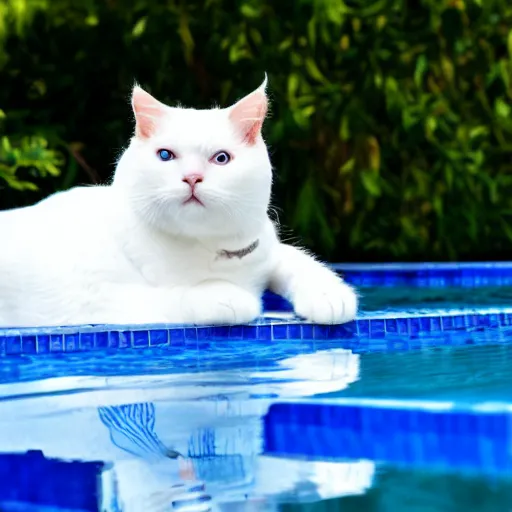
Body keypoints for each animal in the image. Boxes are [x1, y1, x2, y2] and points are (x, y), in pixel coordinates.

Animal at [0, 77, 356, 326]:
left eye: (221, 158)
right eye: (165, 155)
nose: (192, 178)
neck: (208, 248)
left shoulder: (268, 250)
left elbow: (301, 262)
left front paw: (331, 296)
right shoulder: (100, 299)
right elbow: (185, 295)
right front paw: (236, 297)